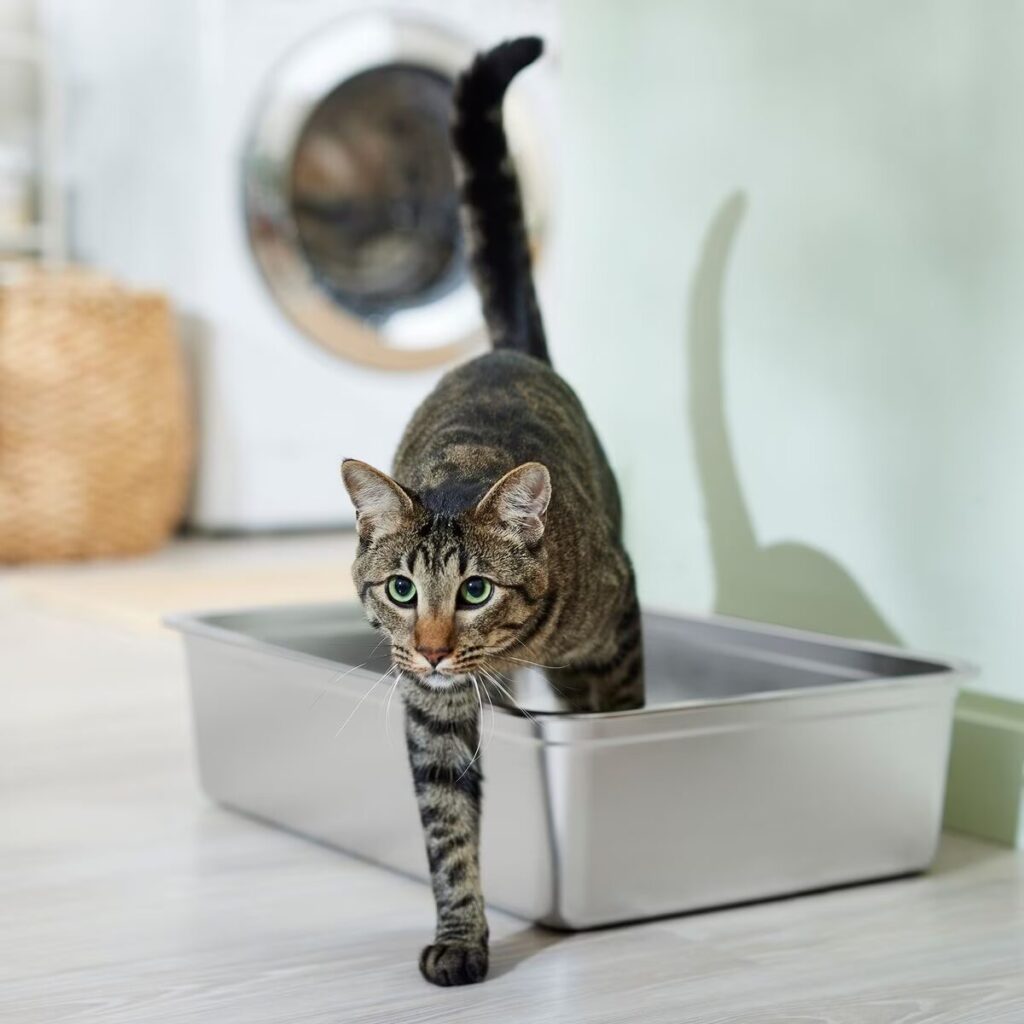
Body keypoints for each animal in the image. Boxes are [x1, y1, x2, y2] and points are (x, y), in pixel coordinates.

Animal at [339, 36, 643, 987]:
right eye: (403, 590)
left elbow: (620, 719)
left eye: (474, 591)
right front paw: (462, 939)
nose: (437, 648)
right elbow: (450, 833)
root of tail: (509, 352)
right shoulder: (430, 713)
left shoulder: (615, 623)